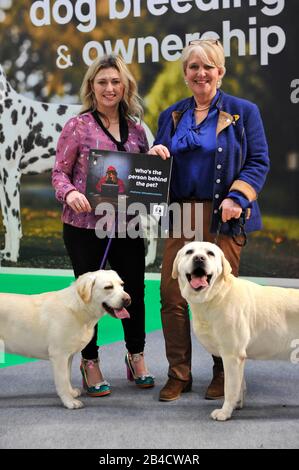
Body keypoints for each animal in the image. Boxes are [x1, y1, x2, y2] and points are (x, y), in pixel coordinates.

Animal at [0, 270, 131, 410]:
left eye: (122, 285)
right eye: (108, 287)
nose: (128, 299)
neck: (79, 309)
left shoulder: (68, 356)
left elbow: (67, 377)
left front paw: (71, 393)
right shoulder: (59, 355)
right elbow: (62, 380)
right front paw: (69, 402)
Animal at [172, 242, 299, 422]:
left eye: (210, 254)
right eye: (189, 252)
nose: (199, 258)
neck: (216, 295)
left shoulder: (232, 355)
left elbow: (230, 388)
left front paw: (225, 412)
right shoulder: (239, 357)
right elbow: (240, 385)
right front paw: (237, 405)